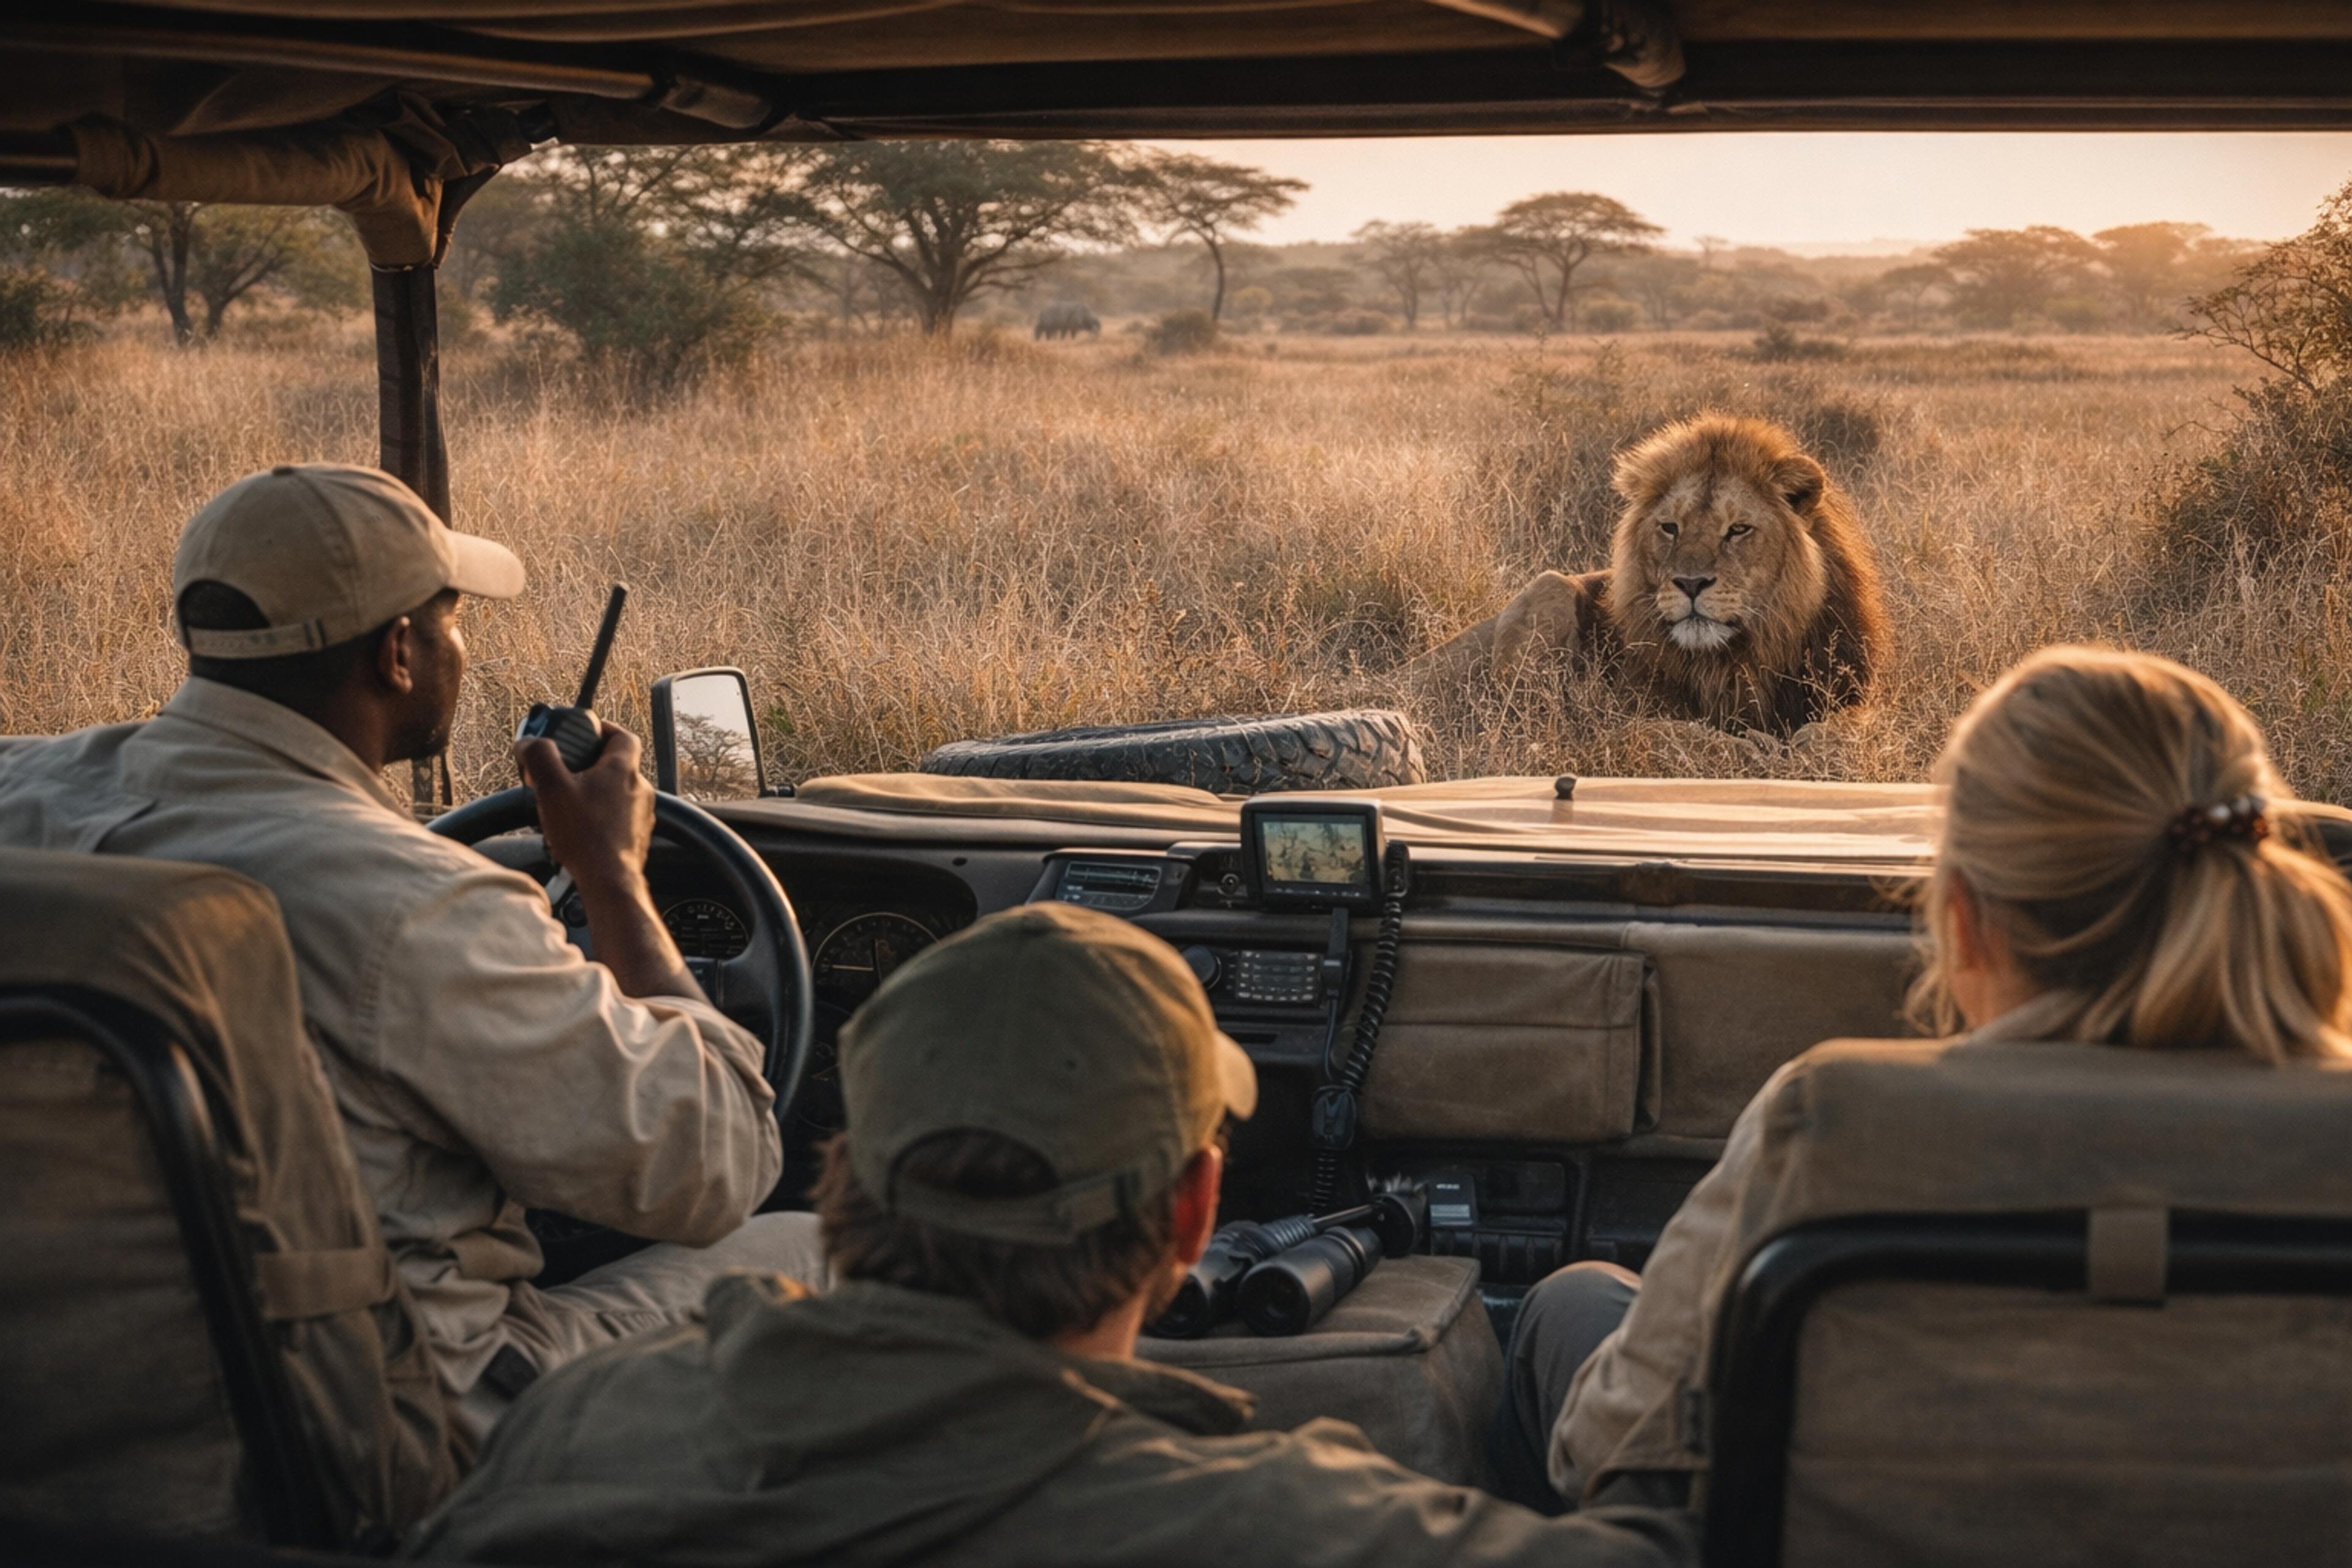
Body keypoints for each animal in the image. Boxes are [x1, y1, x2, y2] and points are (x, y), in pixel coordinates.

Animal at [1416, 414, 1890, 735]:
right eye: (1670, 527)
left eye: (1738, 530)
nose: (1691, 584)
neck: (1740, 657)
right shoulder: (1645, 708)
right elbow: (1688, 732)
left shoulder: (1853, 691)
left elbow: (1836, 730)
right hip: (1550, 586)